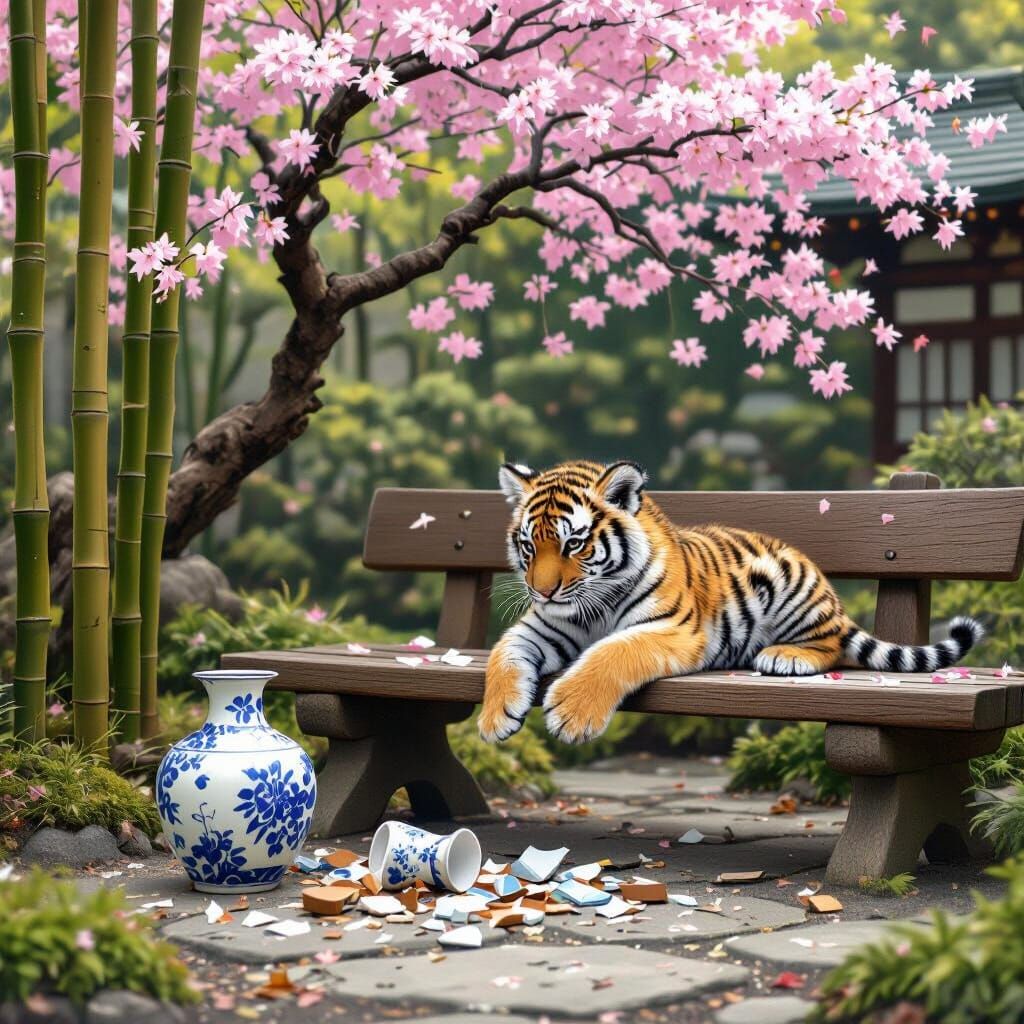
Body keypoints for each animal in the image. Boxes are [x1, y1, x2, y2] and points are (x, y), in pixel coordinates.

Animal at [478, 459, 984, 745]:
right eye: (528, 545)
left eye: (574, 544)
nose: (542, 591)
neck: (593, 605)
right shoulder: (540, 628)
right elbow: (503, 656)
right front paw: (494, 718)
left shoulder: (674, 629)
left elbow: (613, 651)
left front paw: (571, 713)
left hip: (788, 586)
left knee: (831, 644)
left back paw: (786, 656)